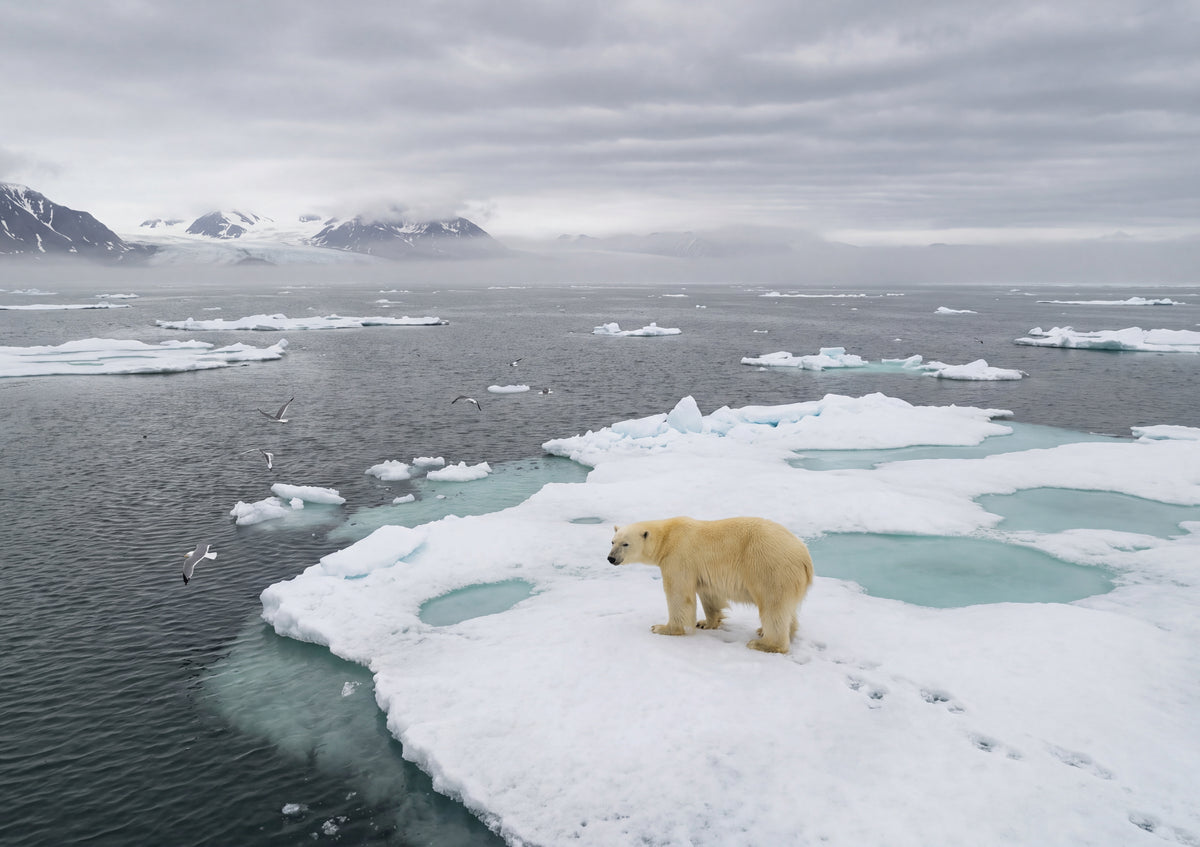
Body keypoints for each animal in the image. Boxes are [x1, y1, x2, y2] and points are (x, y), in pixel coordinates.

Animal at [608, 516, 813, 654]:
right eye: (612, 541)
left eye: (625, 544)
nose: (611, 558)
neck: (667, 537)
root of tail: (805, 557)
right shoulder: (702, 570)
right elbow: (709, 594)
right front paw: (705, 623)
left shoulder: (678, 557)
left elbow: (679, 595)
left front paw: (662, 628)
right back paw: (767, 631)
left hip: (770, 567)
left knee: (772, 606)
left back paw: (763, 643)